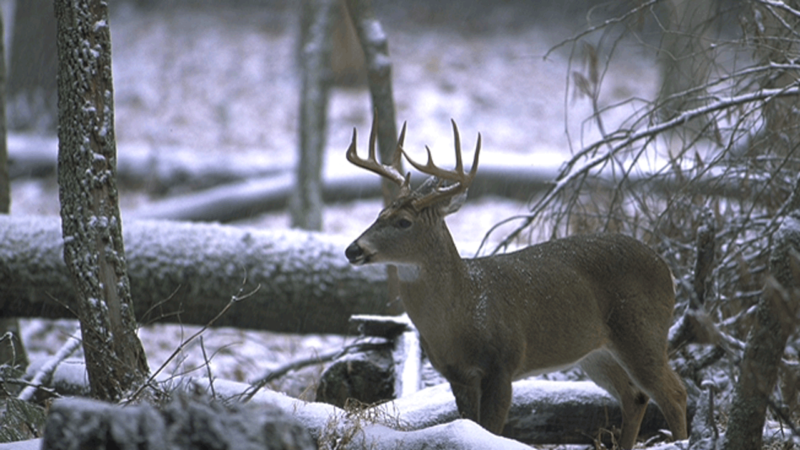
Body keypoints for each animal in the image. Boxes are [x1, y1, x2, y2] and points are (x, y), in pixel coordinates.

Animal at [344, 118, 688, 448]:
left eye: (404, 222)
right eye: (379, 213)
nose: (352, 249)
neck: (463, 311)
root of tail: (667, 268)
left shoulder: (503, 364)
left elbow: (490, 429)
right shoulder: (457, 375)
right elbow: (470, 424)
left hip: (643, 332)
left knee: (675, 394)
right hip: (595, 353)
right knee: (635, 397)